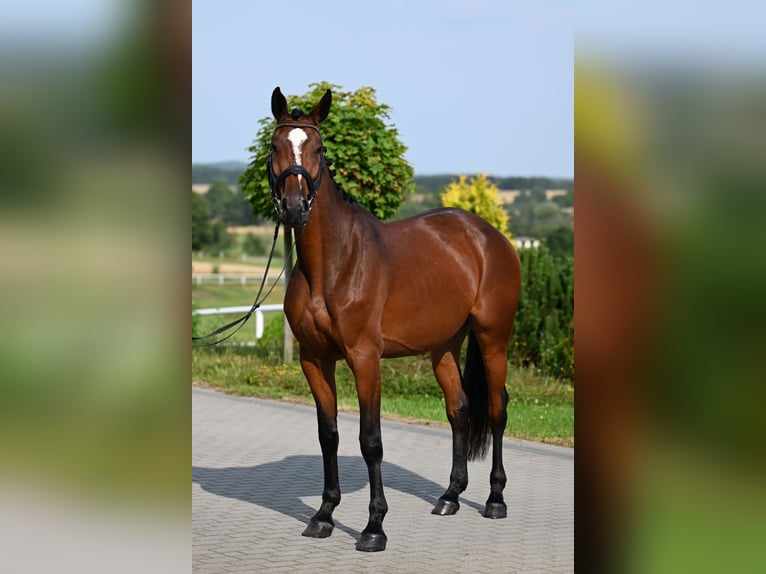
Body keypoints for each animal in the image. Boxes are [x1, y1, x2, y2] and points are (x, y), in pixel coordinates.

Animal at [268, 86, 520, 552]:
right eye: (275, 146)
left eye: (319, 149)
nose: (294, 208)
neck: (333, 264)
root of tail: (489, 236)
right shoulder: (314, 360)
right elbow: (329, 435)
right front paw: (324, 515)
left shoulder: (365, 359)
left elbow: (371, 440)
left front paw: (374, 527)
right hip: (444, 346)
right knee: (459, 409)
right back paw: (450, 496)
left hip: (494, 338)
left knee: (496, 410)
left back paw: (495, 499)